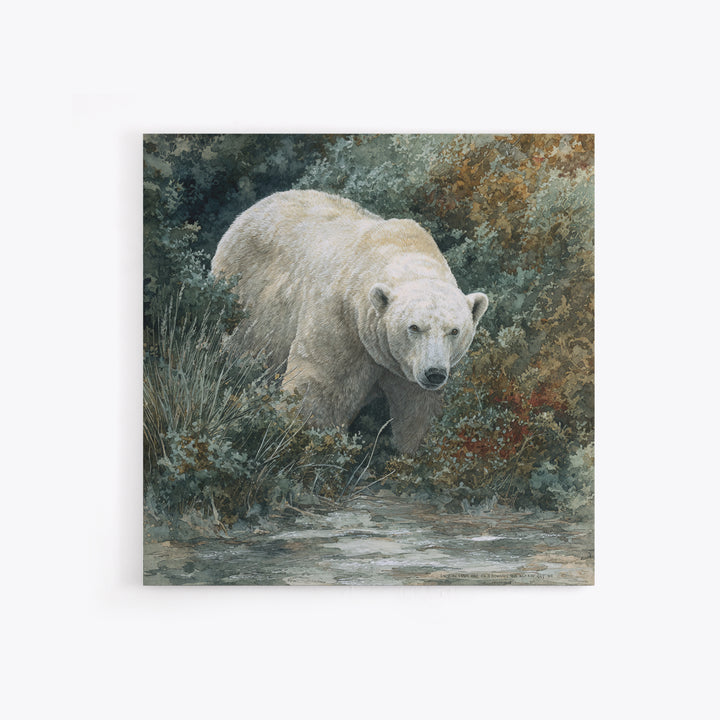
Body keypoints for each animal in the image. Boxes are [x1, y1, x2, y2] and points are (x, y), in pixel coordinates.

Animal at [211, 189, 489, 455]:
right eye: (414, 327)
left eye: (454, 331)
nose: (434, 373)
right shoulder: (341, 321)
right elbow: (320, 390)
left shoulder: (407, 368)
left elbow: (420, 409)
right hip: (248, 298)